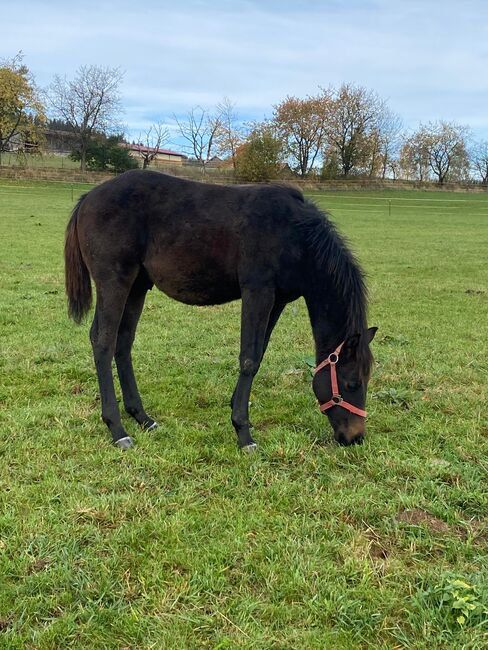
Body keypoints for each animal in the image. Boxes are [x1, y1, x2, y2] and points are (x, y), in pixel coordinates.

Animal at [65, 170, 378, 448]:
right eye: (352, 384)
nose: (355, 437)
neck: (294, 235)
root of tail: (88, 198)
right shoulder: (257, 292)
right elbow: (249, 358)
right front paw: (243, 432)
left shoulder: (277, 300)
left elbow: (259, 354)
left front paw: (235, 408)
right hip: (114, 282)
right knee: (103, 342)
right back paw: (117, 429)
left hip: (137, 286)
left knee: (123, 342)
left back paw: (142, 417)